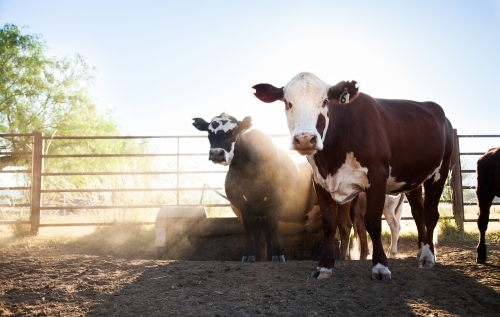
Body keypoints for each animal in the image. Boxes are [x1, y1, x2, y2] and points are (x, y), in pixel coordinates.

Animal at [254, 72, 454, 278]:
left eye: (325, 101)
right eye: (287, 102)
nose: (304, 139)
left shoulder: (377, 176)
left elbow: (372, 222)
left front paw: (380, 266)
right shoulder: (320, 181)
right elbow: (329, 223)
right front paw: (324, 266)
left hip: (440, 171)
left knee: (430, 213)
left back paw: (428, 257)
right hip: (412, 179)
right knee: (418, 213)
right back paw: (421, 252)